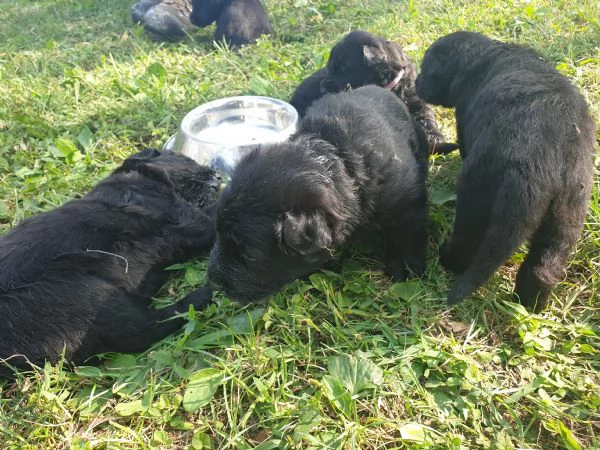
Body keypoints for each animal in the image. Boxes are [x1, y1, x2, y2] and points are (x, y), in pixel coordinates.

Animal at [0, 149, 220, 376]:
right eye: (188, 159)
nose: (219, 177)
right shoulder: (189, 219)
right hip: (88, 295)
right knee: (148, 327)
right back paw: (203, 294)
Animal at [209, 85, 428, 302]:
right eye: (217, 233)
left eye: (249, 255)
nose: (213, 281)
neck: (339, 160)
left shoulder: (407, 201)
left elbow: (406, 232)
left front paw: (405, 268)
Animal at [290, 30, 454, 155]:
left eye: (342, 67)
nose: (322, 88)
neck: (393, 85)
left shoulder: (417, 102)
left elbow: (427, 119)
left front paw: (436, 139)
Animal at [418, 31, 596, 312]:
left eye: (426, 69)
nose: (416, 81)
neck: (483, 56)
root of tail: (539, 171)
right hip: (568, 212)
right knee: (544, 266)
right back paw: (529, 304)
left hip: (477, 194)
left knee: (469, 241)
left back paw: (448, 258)